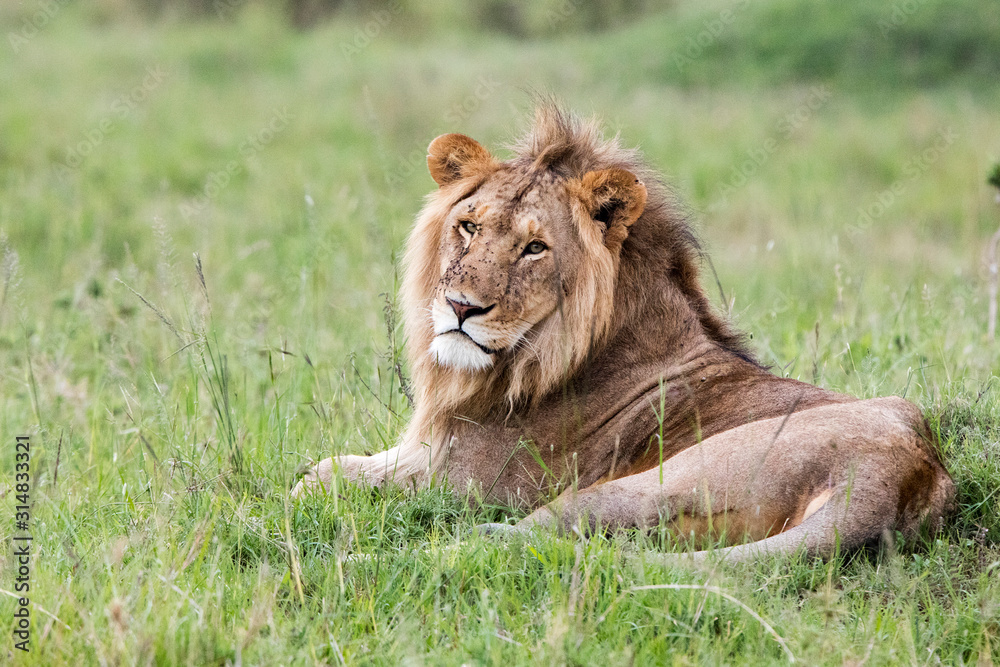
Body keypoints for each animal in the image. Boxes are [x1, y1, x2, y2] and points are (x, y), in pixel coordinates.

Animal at [293, 104, 954, 562]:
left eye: (535, 248)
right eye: (468, 226)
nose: (460, 307)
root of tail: (898, 473)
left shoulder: (461, 479)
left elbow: (316, 481)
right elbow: (324, 466)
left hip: (642, 485)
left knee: (519, 539)